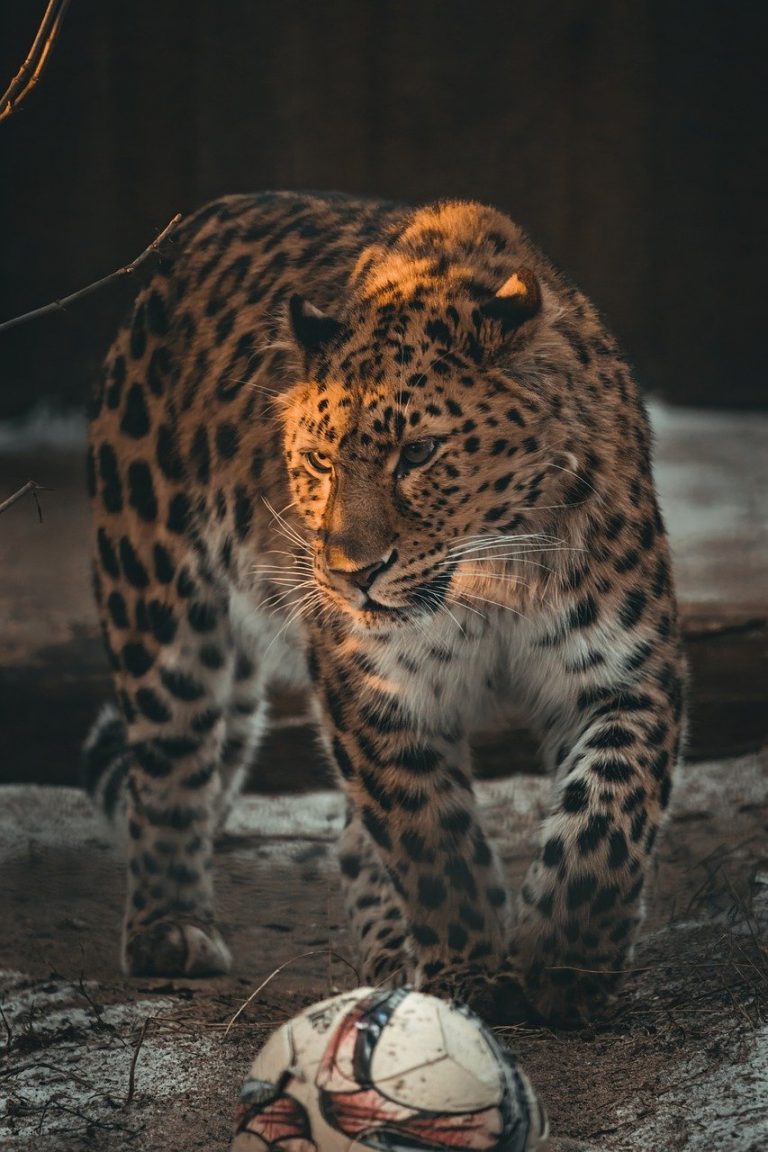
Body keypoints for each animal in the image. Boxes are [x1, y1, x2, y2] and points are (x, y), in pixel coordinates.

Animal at [83, 190, 685, 1025]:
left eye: (419, 455)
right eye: (319, 461)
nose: (350, 573)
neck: (489, 578)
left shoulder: (625, 673)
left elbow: (610, 815)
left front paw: (567, 962)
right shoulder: (373, 686)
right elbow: (429, 835)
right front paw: (471, 970)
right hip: (160, 603)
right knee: (171, 768)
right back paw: (170, 929)